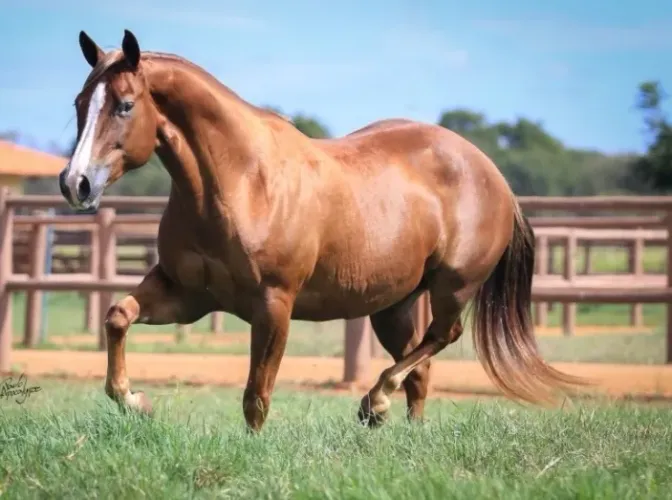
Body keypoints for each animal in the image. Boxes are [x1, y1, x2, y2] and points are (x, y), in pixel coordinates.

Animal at [58, 29, 584, 432]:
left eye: (125, 105)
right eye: (80, 102)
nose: (74, 183)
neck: (241, 181)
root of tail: (491, 173)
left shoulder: (274, 304)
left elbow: (257, 394)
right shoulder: (187, 295)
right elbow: (117, 317)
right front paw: (136, 402)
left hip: (453, 287)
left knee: (442, 337)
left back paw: (375, 402)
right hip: (393, 305)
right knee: (421, 367)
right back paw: (403, 427)